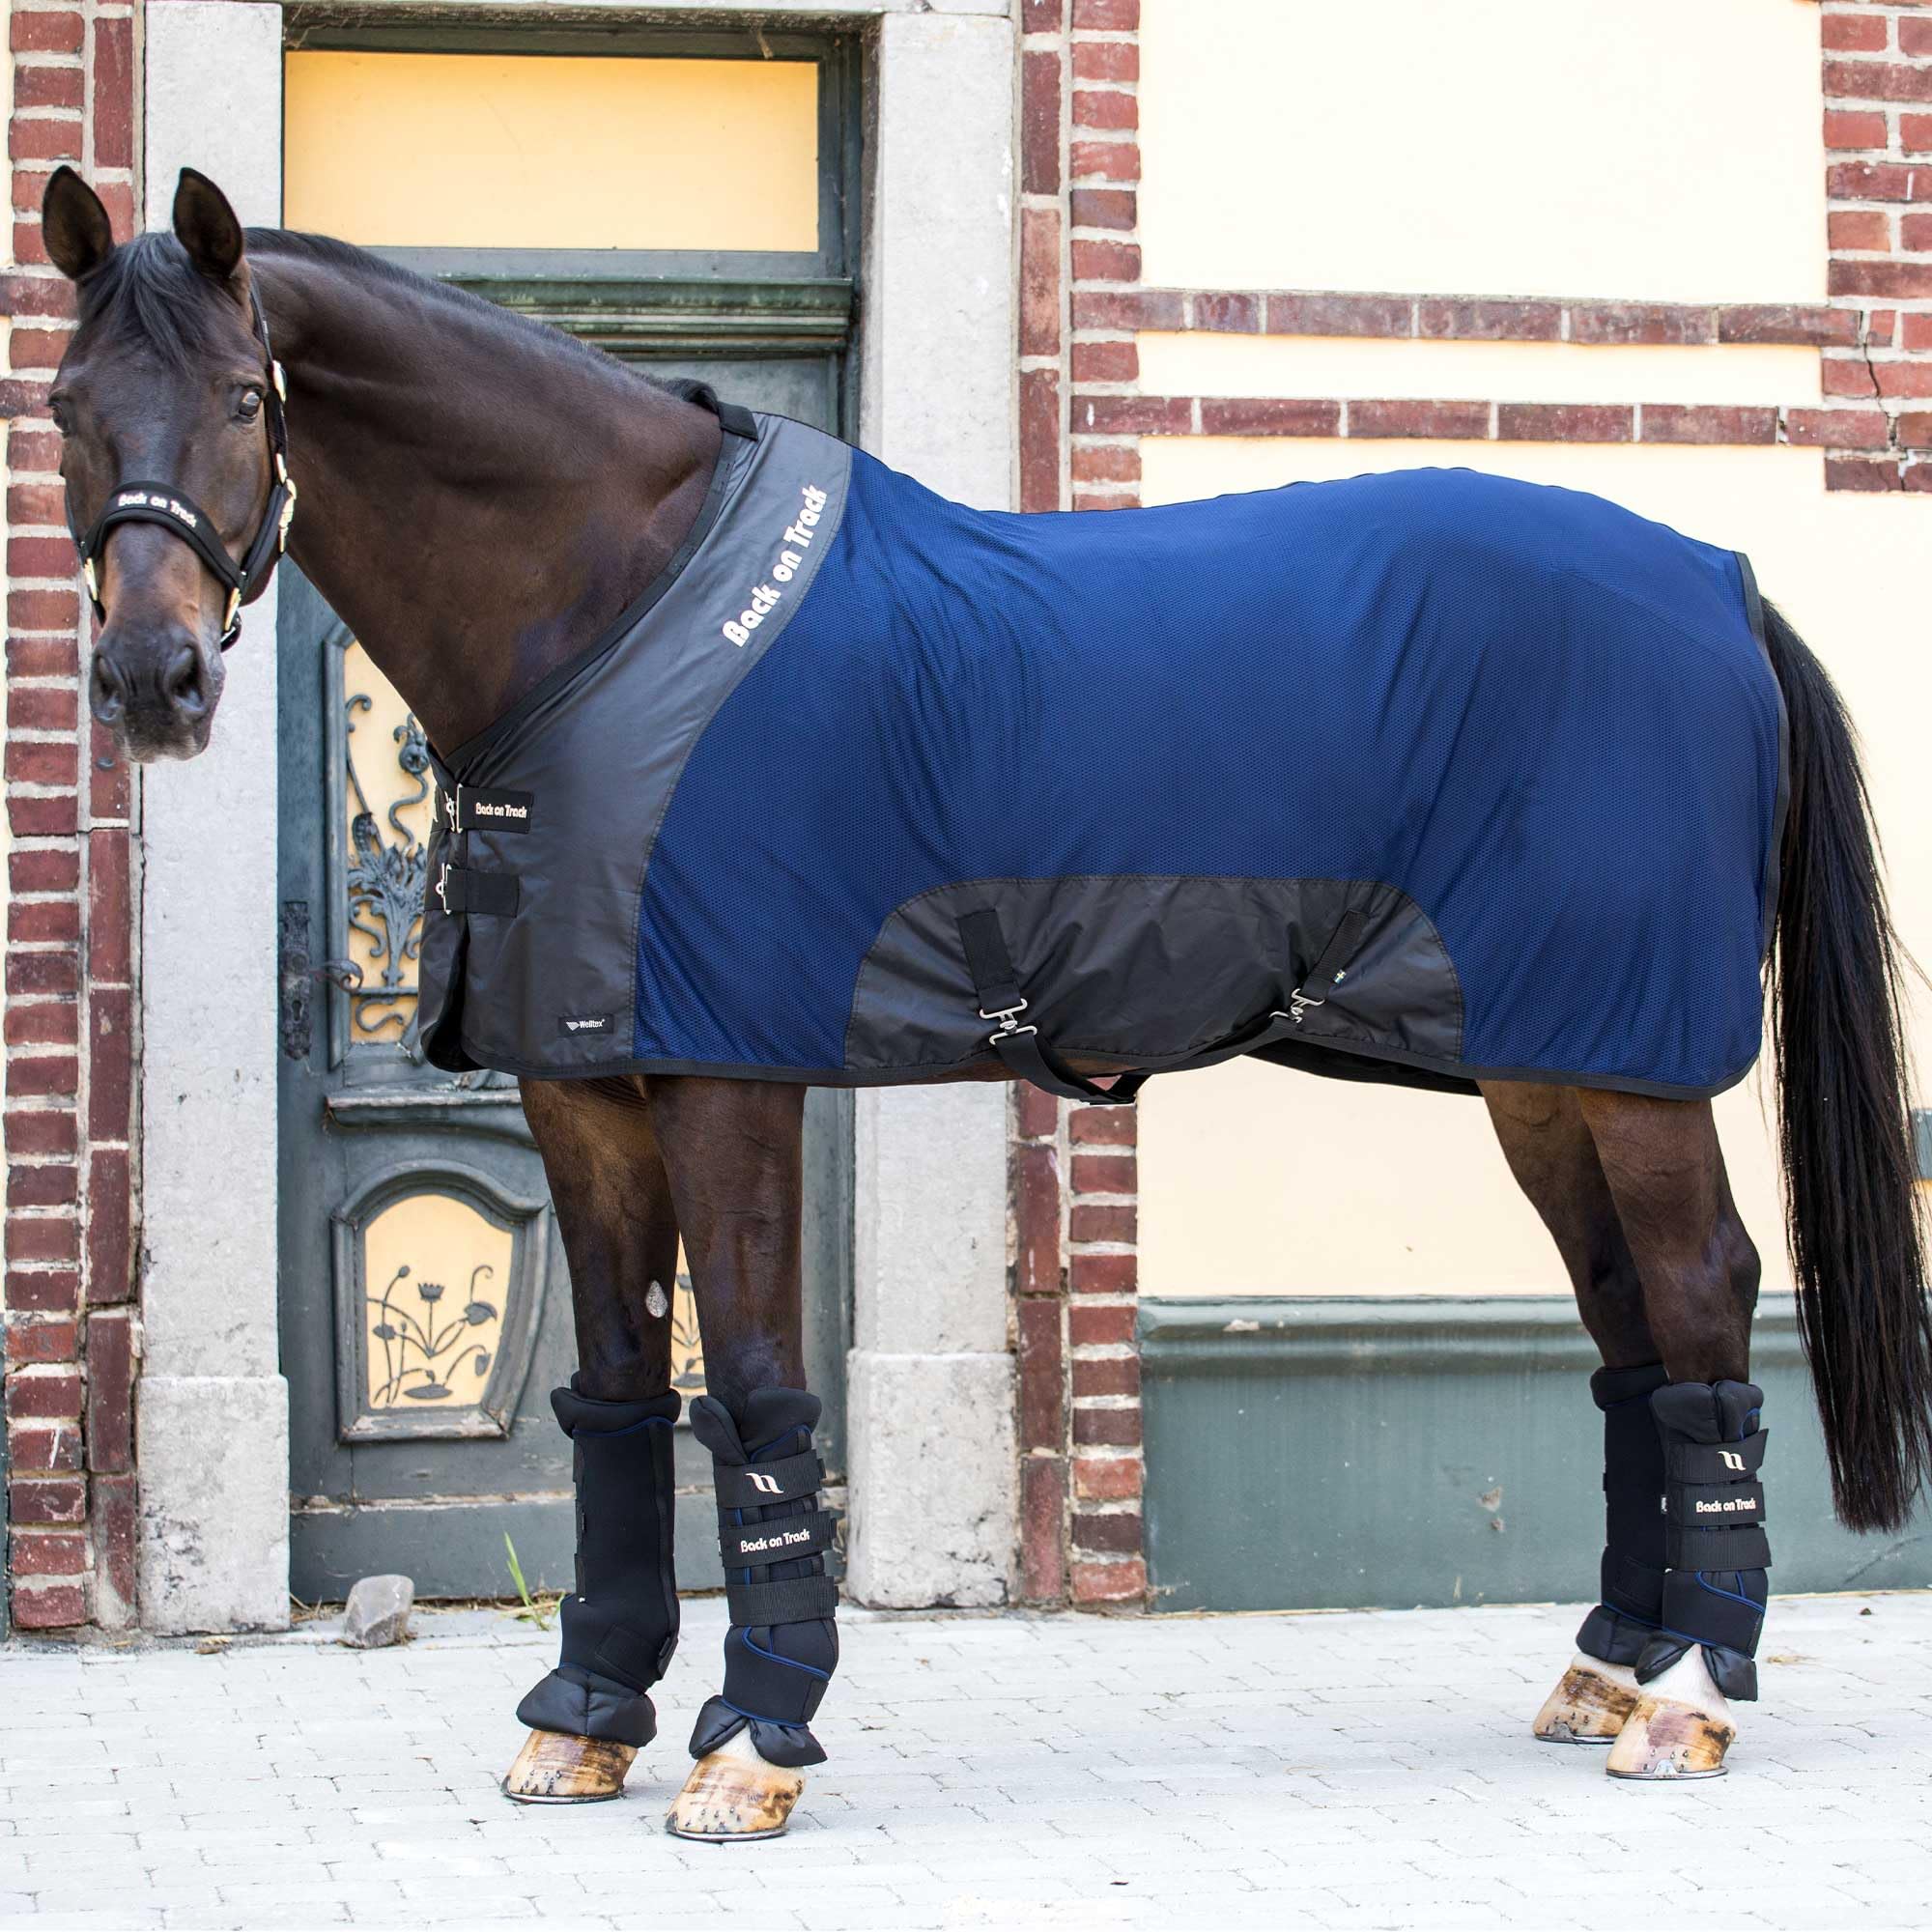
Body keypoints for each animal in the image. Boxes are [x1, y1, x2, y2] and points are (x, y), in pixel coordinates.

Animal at [40, 165, 1931, 1836]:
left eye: (239, 397)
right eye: (61, 405)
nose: (150, 679)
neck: (623, 624)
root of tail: (1721, 585)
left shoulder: (728, 1072)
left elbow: (754, 1393)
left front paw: (754, 1740)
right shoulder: (580, 1083)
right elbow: (618, 1402)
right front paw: (583, 1714)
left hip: (1635, 1066)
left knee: (1705, 1299)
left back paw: (1687, 1696)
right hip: (1548, 1063)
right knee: (1631, 1333)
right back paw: (1613, 1666)